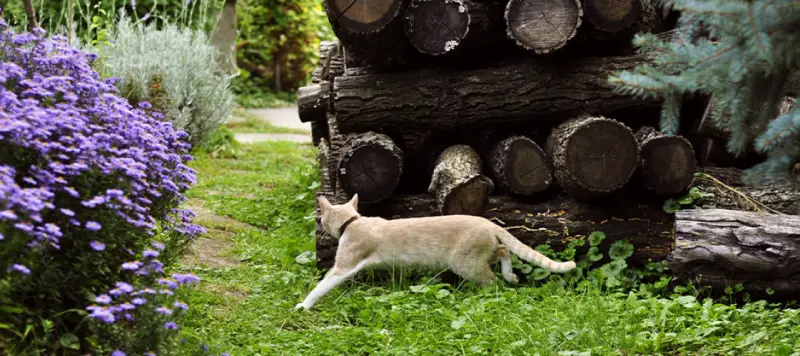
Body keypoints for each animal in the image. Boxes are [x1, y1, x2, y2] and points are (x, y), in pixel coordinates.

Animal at [294, 193, 576, 310]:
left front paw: (303, 305)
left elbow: (321, 286)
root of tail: (487, 221)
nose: (319, 227)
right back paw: (512, 276)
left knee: (491, 279)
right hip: (477, 255)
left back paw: (494, 289)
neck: (352, 222)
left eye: (321, 218)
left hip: (465, 263)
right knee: (504, 249)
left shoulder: (343, 265)